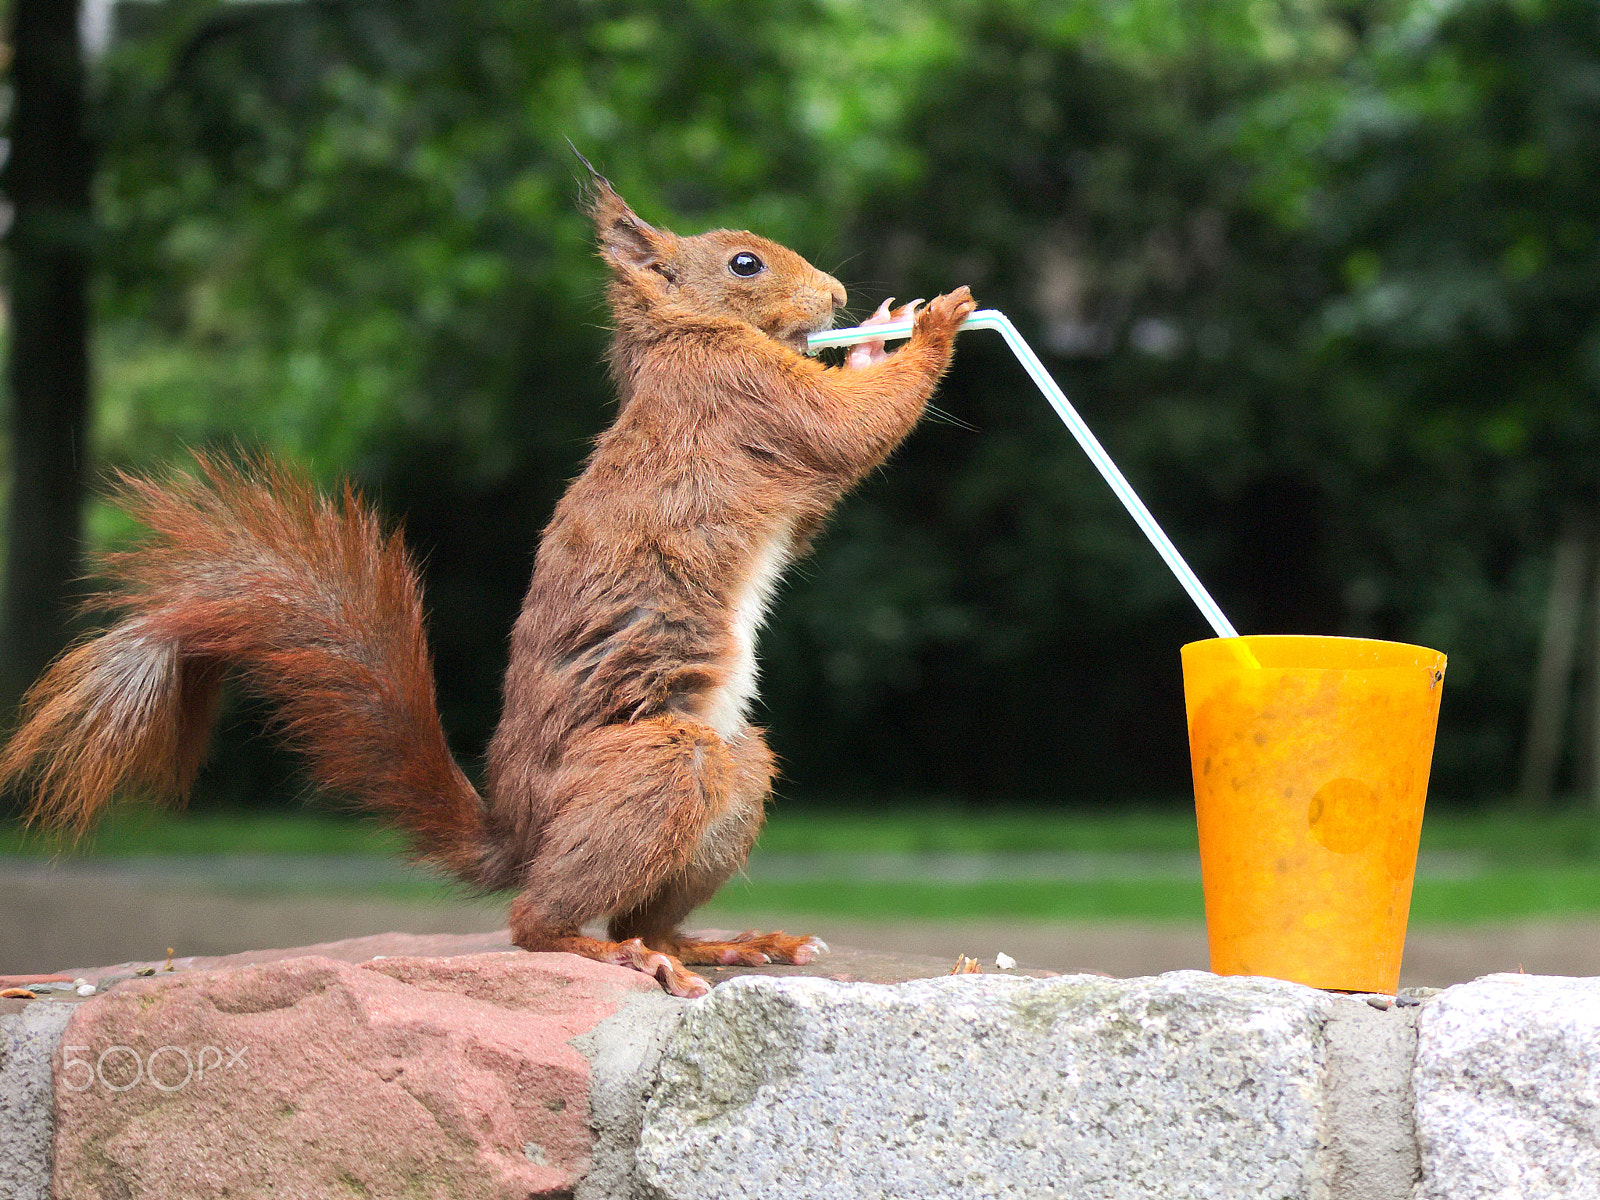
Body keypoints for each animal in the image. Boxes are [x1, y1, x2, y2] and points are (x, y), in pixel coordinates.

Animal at [0, 164, 972, 998]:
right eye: (744, 263)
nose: (839, 300)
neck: (680, 341)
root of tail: (523, 837)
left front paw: (871, 343)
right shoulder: (740, 394)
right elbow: (847, 428)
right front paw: (931, 330)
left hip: (737, 776)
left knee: (645, 913)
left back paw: (719, 943)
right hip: (660, 765)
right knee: (540, 921)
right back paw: (617, 954)